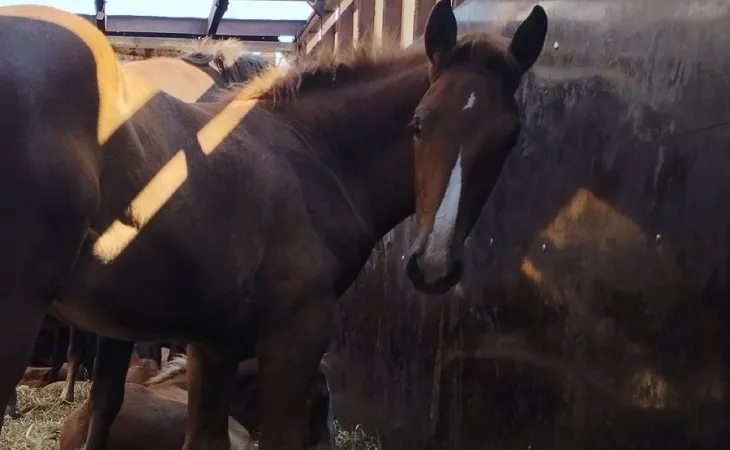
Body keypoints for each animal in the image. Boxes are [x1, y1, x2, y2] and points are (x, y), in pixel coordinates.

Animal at [0, 3, 546, 450]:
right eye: (418, 123)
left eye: (510, 137)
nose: (433, 265)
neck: (312, 152)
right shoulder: (297, 331)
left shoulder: (213, 343)